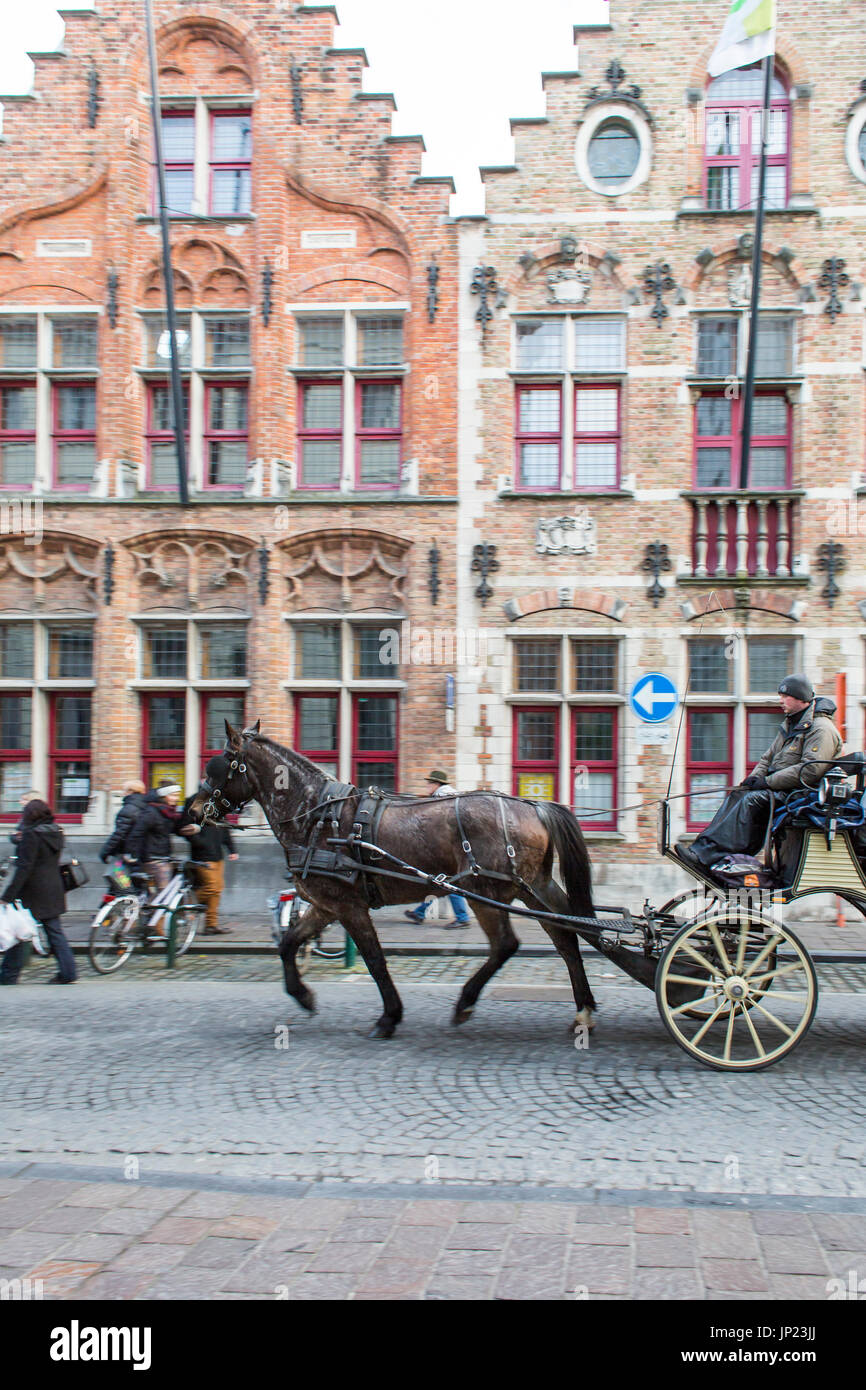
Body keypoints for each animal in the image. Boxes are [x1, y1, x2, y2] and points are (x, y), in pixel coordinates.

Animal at [187, 728, 650, 1034]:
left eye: (219, 765)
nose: (191, 808)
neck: (316, 815)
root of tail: (533, 805)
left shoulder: (348, 905)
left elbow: (374, 960)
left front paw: (389, 1016)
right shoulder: (325, 904)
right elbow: (286, 944)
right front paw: (303, 996)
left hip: (484, 892)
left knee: (508, 945)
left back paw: (465, 1004)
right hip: (534, 887)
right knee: (568, 936)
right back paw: (583, 1010)